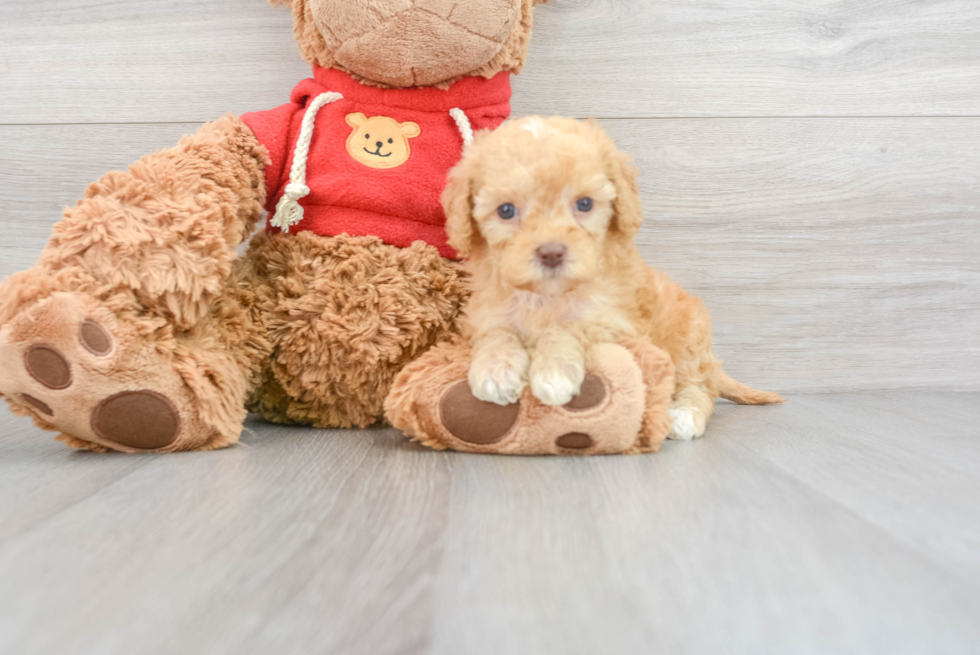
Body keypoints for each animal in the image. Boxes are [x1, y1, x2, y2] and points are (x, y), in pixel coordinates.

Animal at [442, 116, 780, 440]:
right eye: (506, 210)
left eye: (585, 204)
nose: (551, 253)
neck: (548, 296)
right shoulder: (487, 312)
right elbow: (498, 332)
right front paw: (496, 370)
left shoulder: (615, 322)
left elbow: (570, 327)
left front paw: (553, 371)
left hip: (688, 344)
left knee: (699, 385)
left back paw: (685, 416)